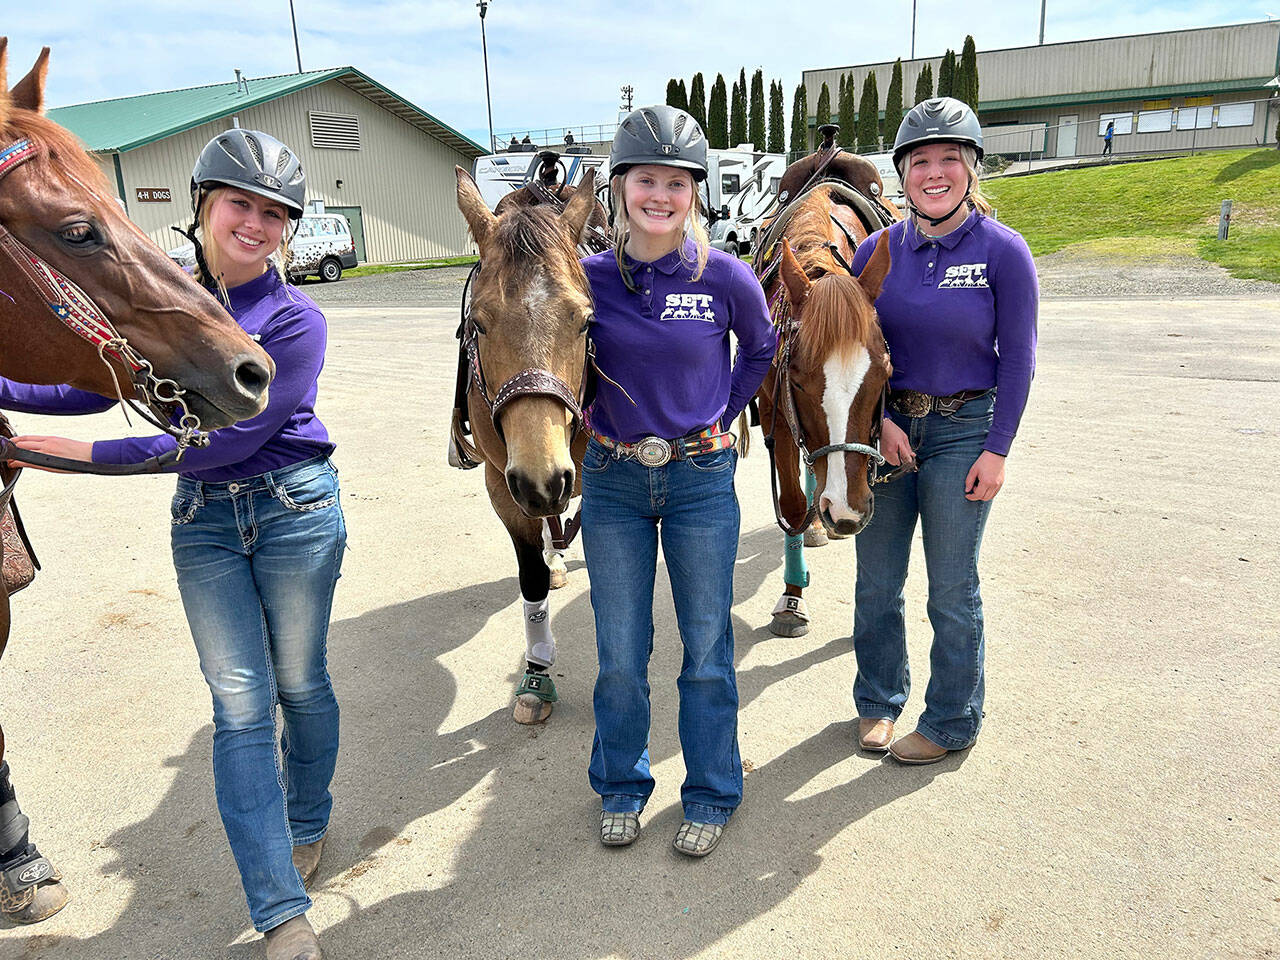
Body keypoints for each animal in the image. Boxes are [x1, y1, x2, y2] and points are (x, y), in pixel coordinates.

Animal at [453, 167, 606, 721]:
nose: (543, 478)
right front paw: (537, 675)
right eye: (477, 322)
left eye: (586, 321)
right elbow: (532, 575)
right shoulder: (503, 484)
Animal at [747, 128, 901, 640]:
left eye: (885, 373)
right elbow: (794, 505)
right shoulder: (775, 407)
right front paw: (793, 599)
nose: (846, 510)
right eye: (796, 378)